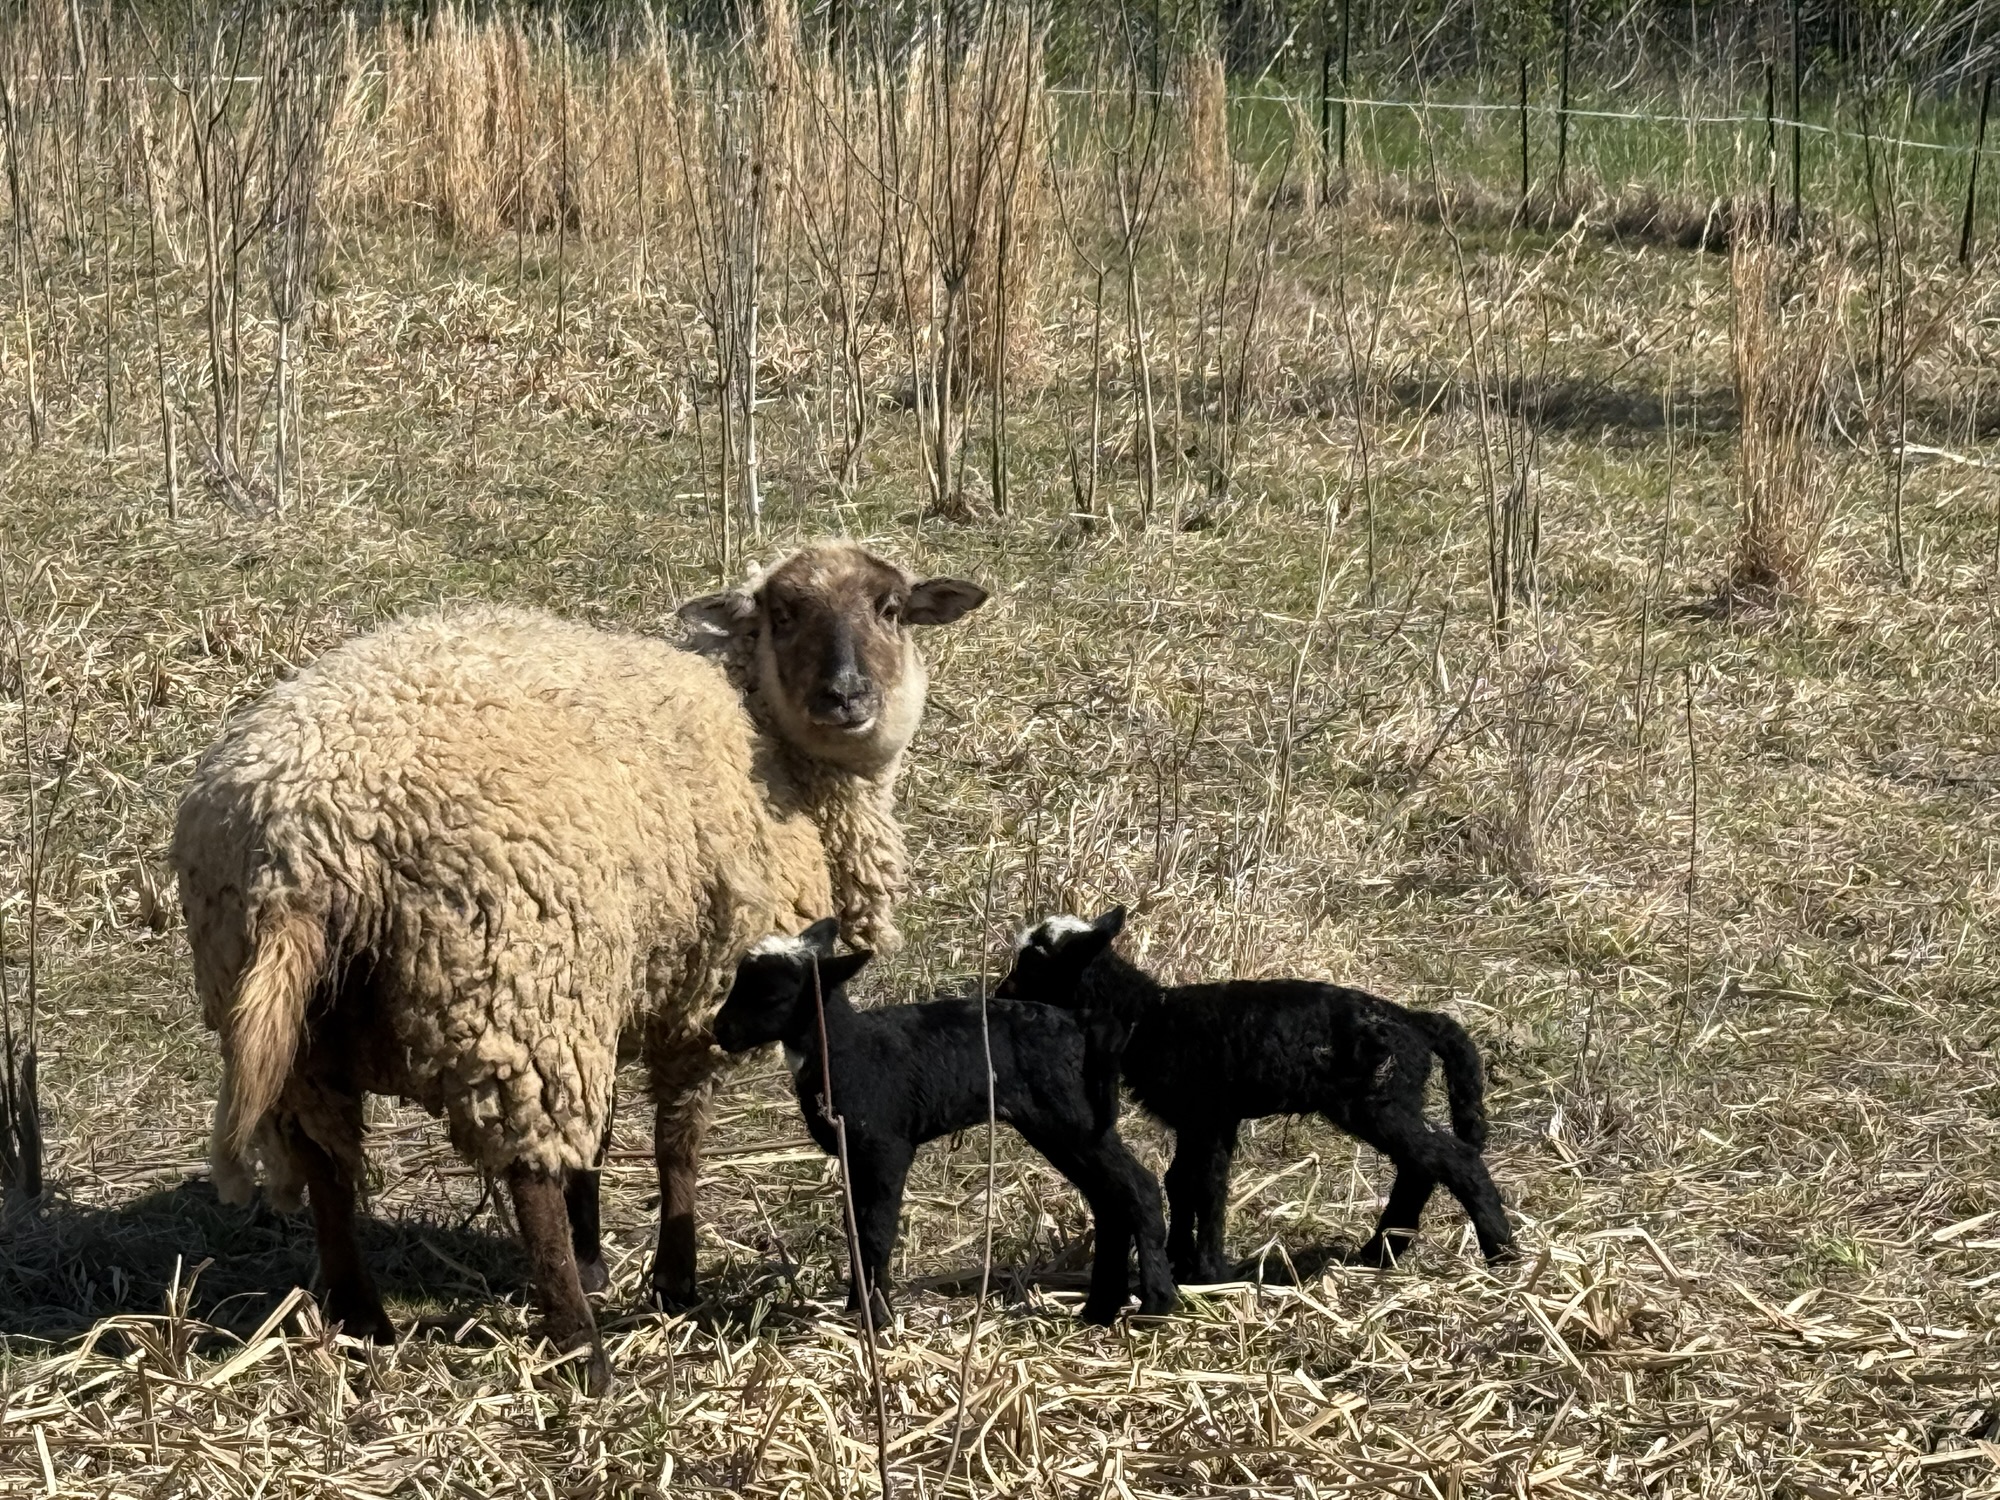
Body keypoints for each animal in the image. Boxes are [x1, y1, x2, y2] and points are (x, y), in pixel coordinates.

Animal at [172, 542, 986, 1390]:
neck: (764, 729)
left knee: (327, 1164)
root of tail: (303, 843)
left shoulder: (612, 986)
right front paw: (673, 1280)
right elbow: (677, 1141)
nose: (845, 695)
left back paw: (366, 1322)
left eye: (889, 609)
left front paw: (597, 1251)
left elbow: (596, 1144)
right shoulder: (699, 996)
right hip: (517, 983)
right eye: (785, 613)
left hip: (306, 1022)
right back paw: (581, 1348)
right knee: (528, 1171)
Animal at [710, 920, 1177, 1325]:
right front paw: (857, 1311)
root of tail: (1082, 1023)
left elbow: (876, 1231)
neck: (848, 1052)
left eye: (772, 997)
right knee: (1109, 1199)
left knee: (1138, 1186)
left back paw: (1157, 1303)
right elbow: (855, 1227)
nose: (720, 1031)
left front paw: (877, 1319)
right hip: (1063, 1124)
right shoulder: (853, 1153)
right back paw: (1099, 1310)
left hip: (1072, 1116)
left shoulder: (887, 1147)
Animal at [997, 909, 1516, 1281]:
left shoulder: (1208, 1114)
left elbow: (1206, 1185)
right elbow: (1181, 1181)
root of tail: (1417, 1022)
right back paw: (1380, 1254)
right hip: (1389, 1100)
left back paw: (1501, 1253)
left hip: (1379, 1099)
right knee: (1422, 1165)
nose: (998, 995)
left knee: (1452, 1159)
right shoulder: (1202, 1119)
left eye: (1031, 965)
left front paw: (1209, 1272)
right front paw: (1182, 1261)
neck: (1149, 1018)